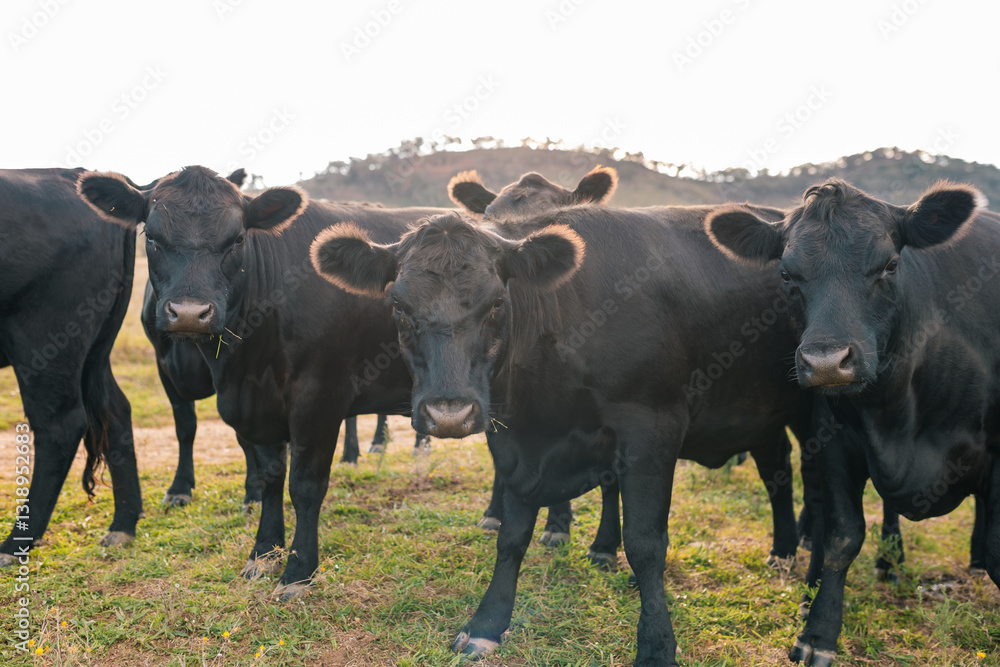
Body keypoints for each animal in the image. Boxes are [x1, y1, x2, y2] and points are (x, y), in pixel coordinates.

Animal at [0, 168, 142, 567]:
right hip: (94, 349)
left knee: (60, 426)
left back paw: (14, 544)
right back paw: (122, 525)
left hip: (45, 337)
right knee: (115, 409)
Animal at [310, 203, 818, 664]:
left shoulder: (652, 428)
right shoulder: (515, 443)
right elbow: (512, 535)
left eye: (497, 302)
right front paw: (487, 624)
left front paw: (657, 644)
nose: (449, 413)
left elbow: (646, 542)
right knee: (776, 467)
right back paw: (781, 551)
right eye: (398, 304)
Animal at [706, 179, 999, 666]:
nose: (827, 362)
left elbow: (998, 549)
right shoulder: (836, 442)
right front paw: (817, 631)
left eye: (890, 264)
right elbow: (842, 538)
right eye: (786, 275)